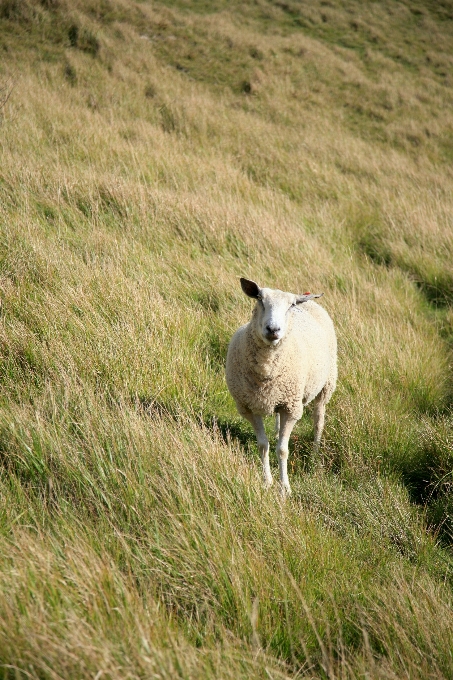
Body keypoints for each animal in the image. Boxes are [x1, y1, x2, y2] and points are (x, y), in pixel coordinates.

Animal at [225, 276, 336, 494]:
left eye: (290, 305)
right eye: (259, 299)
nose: (273, 329)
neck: (266, 367)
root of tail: (307, 298)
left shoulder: (291, 409)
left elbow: (282, 450)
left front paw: (285, 487)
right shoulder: (249, 407)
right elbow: (263, 445)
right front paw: (267, 481)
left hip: (325, 385)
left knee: (318, 421)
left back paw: (314, 455)